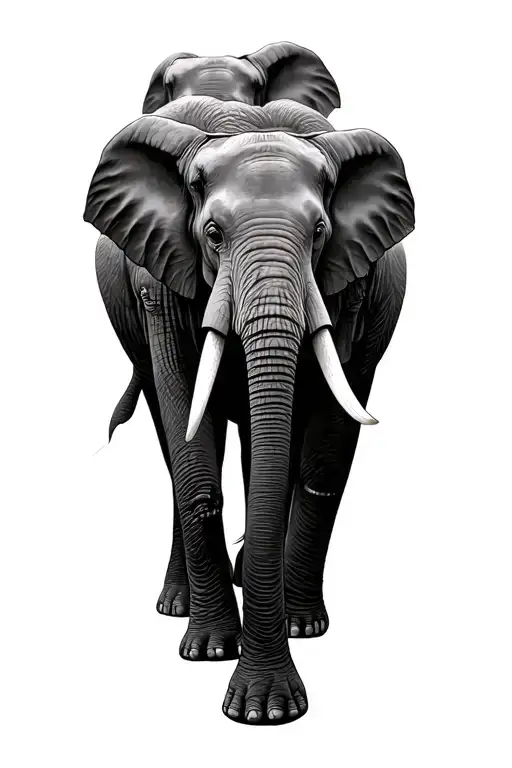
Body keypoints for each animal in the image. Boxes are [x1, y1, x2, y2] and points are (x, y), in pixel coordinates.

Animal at [84, 95, 415, 724]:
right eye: (212, 234)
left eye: (320, 232)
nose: (264, 707)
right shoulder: (160, 281)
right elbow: (188, 428)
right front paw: (214, 654)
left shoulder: (353, 289)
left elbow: (319, 455)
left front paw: (283, 665)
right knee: (172, 437)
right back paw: (178, 605)